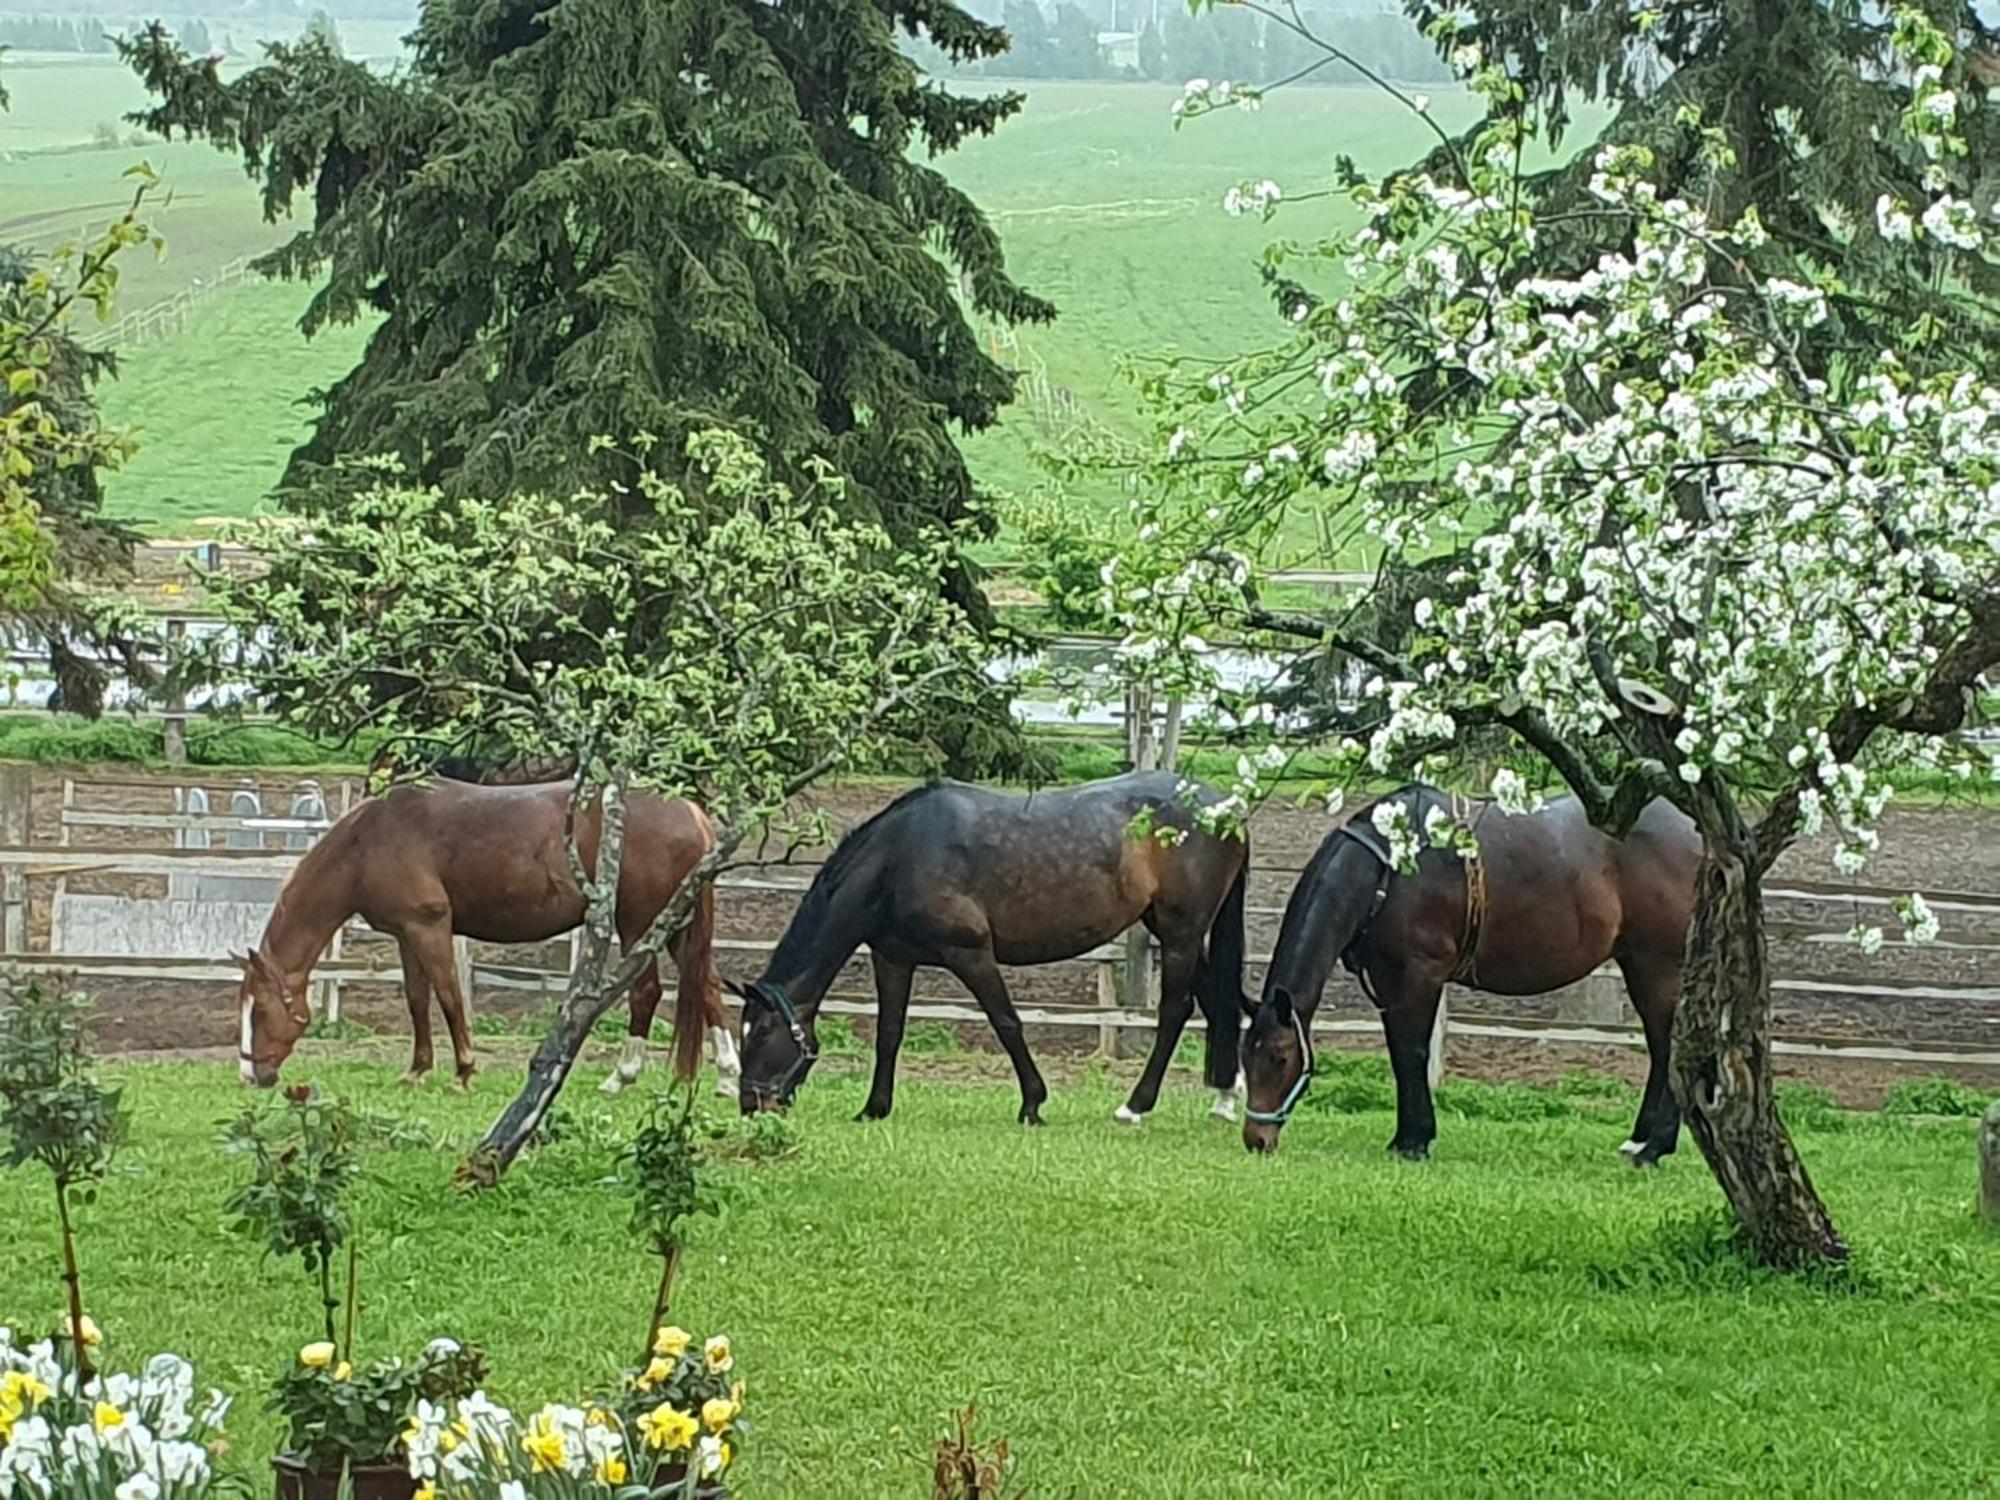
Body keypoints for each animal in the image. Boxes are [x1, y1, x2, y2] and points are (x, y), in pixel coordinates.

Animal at [233, 776, 732, 1096]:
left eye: (261, 1012)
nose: (250, 1076)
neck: (369, 842)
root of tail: (692, 813)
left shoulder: (429, 927)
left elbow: (450, 998)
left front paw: (464, 1072)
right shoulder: (406, 934)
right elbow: (417, 1001)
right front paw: (417, 1071)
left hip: (640, 925)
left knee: (646, 993)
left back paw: (621, 1076)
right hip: (677, 927)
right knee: (708, 987)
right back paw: (727, 1077)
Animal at [732, 776, 1248, 1128]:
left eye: (761, 1034)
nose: (751, 1104)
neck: (900, 857)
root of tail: (1225, 806)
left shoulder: (971, 953)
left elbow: (1007, 1024)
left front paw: (1033, 1104)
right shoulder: (893, 957)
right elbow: (889, 1033)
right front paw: (874, 1108)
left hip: (1181, 931)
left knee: (1175, 1010)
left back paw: (1135, 1105)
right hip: (1174, 929)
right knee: (1214, 1002)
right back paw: (1224, 1097)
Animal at [1240, 792, 1696, 1168]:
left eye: (1280, 1057)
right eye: (1245, 1056)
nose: (1256, 1140)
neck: (1388, 869)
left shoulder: (1419, 975)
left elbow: (1413, 1053)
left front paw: (1414, 1141)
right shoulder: (1389, 981)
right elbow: (1400, 1055)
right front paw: (1404, 1138)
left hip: (1657, 966)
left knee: (1667, 1047)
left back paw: (1654, 1148)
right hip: (1637, 963)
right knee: (1660, 1052)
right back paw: (1639, 1142)